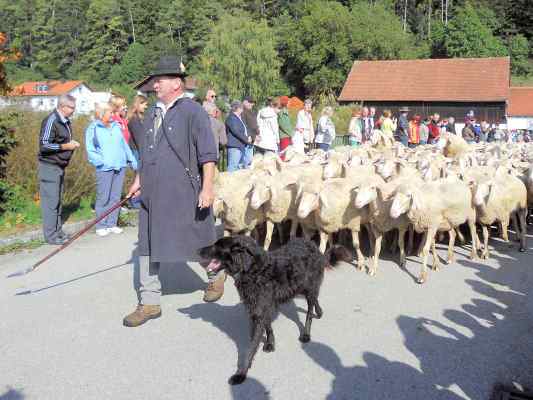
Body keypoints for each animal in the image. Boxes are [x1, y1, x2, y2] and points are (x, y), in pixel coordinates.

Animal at [197, 234, 352, 384]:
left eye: (218, 246)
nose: (197, 250)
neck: (252, 269)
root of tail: (314, 246)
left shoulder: (259, 311)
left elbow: (250, 348)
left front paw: (241, 374)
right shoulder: (260, 307)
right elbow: (268, 327)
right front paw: (270, 343)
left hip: (308, 286)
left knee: (309, 311)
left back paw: (306, 333)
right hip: (300, 287)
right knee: (314, 300)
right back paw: (319, 312)